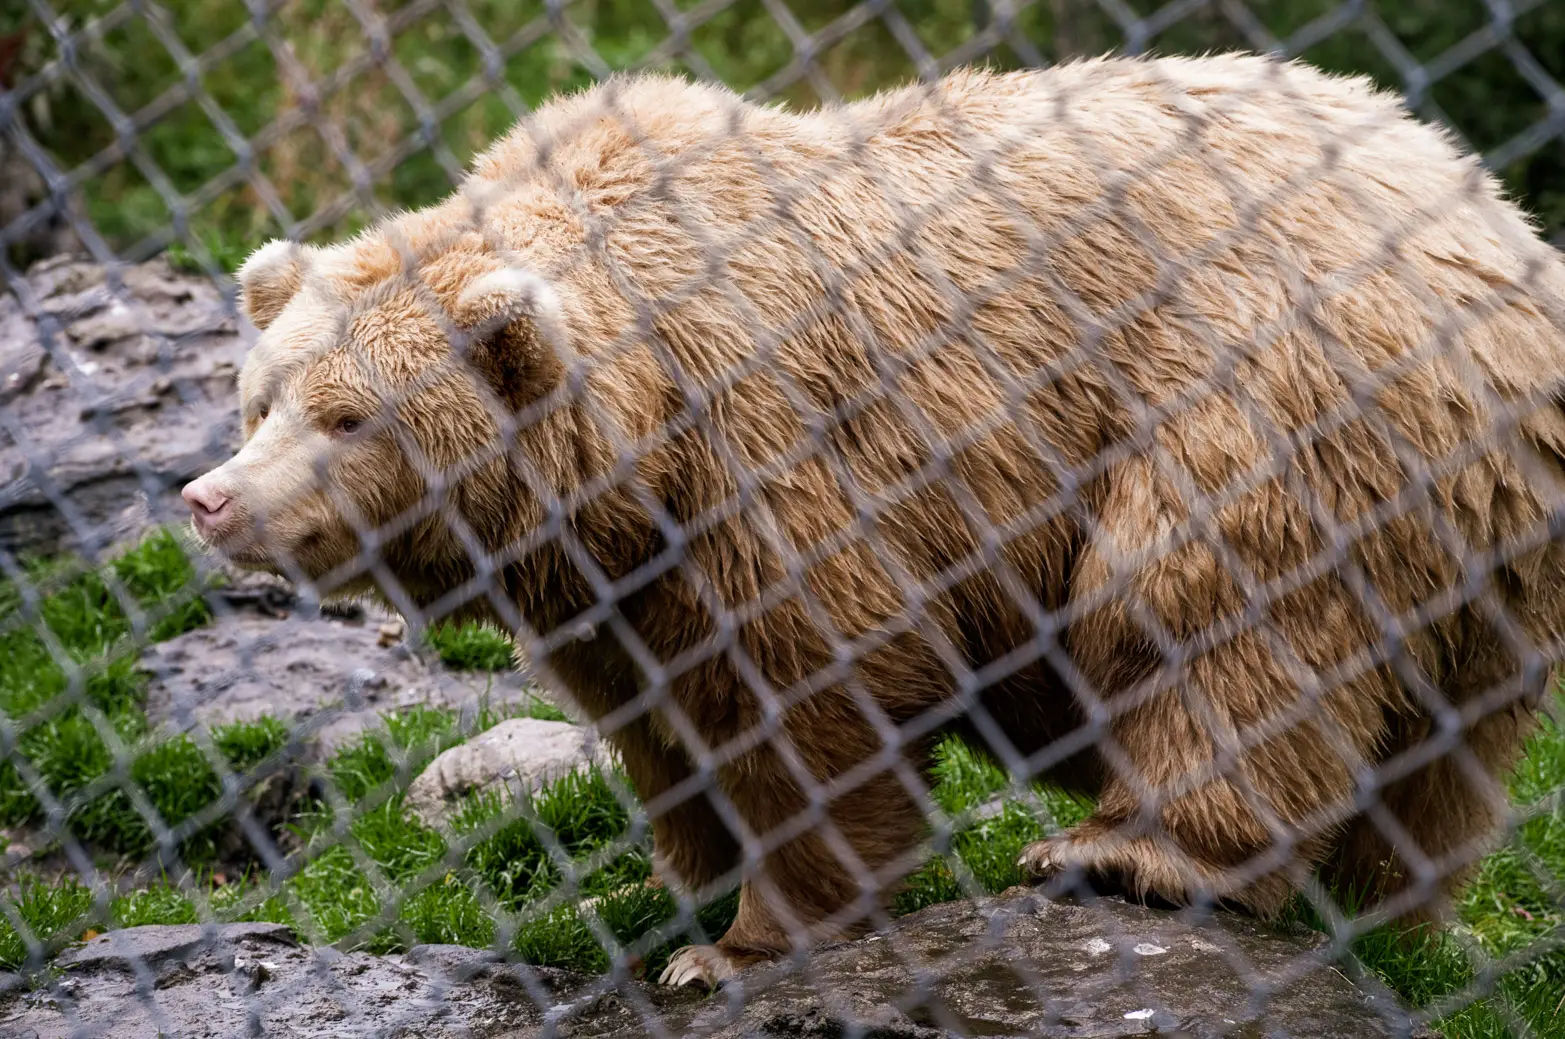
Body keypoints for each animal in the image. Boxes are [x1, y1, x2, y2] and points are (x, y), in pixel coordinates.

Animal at [179, 54, 1565, 988]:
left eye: (349, 416)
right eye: (259, 395)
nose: (213, 500)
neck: (633, 438)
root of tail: (1494, 229)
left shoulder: (779, 453)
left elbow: (814, 689)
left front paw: (739, 945)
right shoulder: (624, 570)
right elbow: (657, 716)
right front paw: (656, 881)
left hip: (1268, 393)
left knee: (1203, 608)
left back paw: (1126, 852)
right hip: (1480, 535)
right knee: (1442, 750)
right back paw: (1380, 912)